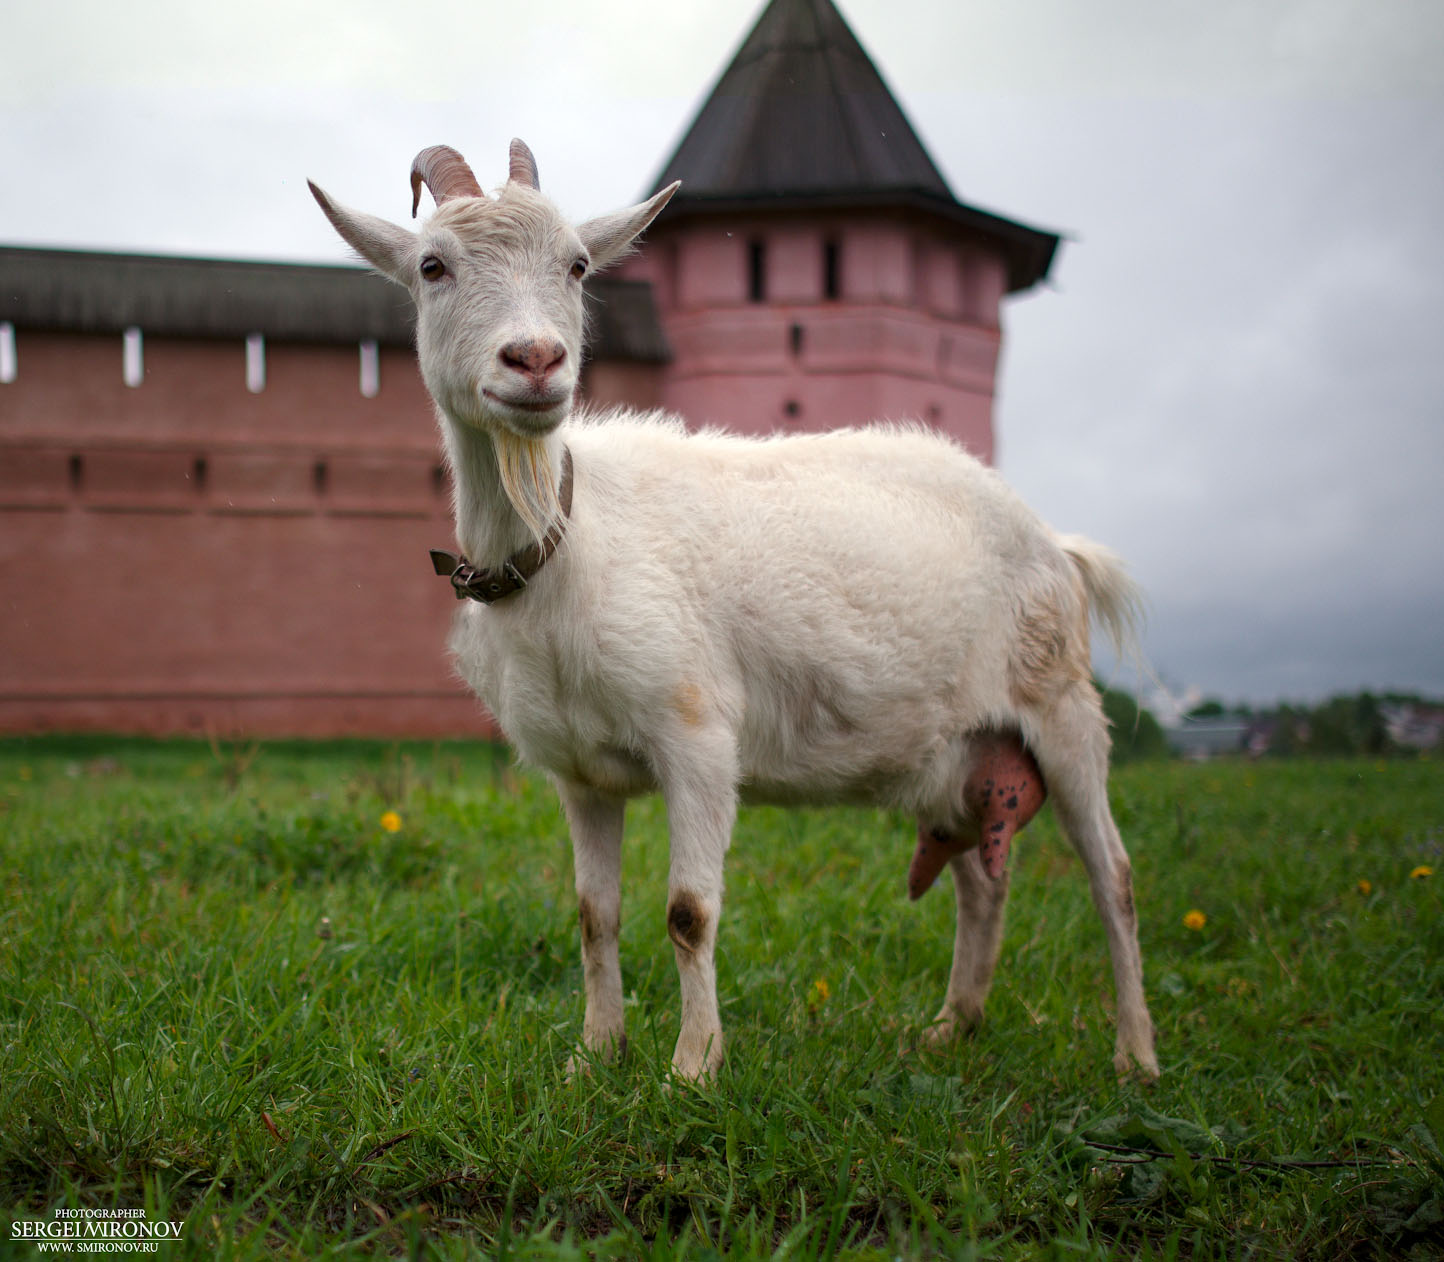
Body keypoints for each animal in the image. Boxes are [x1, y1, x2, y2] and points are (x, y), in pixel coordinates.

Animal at [310, 142, 1155, 1074]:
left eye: (577, 265)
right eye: (433, 267)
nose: (534, 362)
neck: (570, 539)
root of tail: (1055, 541)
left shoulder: (699, 736)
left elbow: (688, 911)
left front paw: (693, 1066)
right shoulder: (580, 772)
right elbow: (593, 914)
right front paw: (595, 1055)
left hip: (1061, 707)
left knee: (1113, 876)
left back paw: (1135, 1056)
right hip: (951, 753)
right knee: (981, 876)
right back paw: (950, 1026)